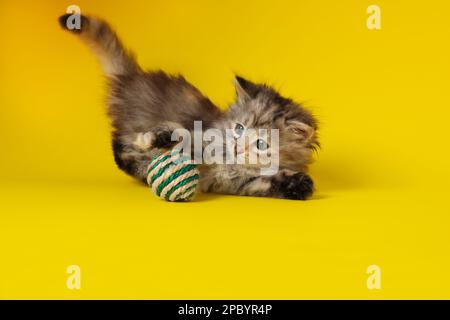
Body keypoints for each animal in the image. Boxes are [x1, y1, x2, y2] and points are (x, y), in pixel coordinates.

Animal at [59, 15, 318, 201]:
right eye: (239, 128)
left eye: (261, 144)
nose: (237, 146)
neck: (230, 163)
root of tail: (131, 77)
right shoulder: (200, 134)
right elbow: (179, 134)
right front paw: (155, 139)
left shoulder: (238, 182)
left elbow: (266, 182)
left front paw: (299, 186)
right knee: (121, 148)